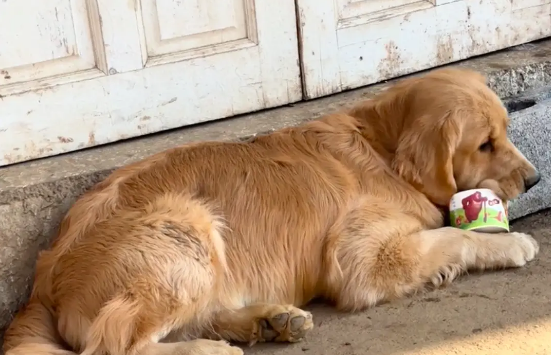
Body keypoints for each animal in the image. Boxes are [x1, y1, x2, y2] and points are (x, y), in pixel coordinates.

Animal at [2, 67, 540, 355]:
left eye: (507, 130)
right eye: (485, 144)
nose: (535, 179)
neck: (382, 147)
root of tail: (43, 280)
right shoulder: (362, 260)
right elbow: (456, 237)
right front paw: (512, 242)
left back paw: (269, 321)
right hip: (186, 228)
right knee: (115, 345)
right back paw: (210, 349)